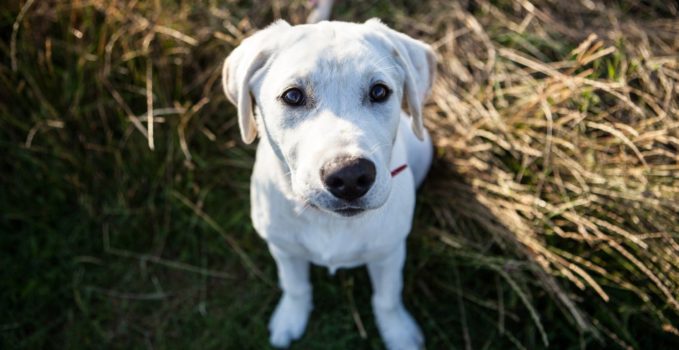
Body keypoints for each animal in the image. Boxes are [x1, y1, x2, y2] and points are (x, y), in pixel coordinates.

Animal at [222, 19, 436, 350]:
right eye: (293, 96)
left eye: (379, 91)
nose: (350, 176)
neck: (327, 220)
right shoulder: (283, 248)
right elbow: (295, 285)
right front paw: (290, 318)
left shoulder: (389, 252)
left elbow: (387, 298)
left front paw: (398, 333)